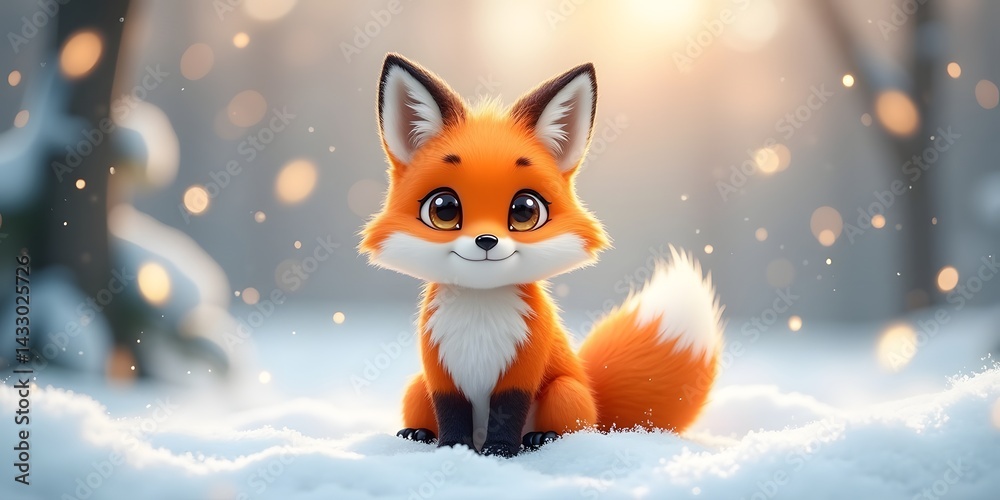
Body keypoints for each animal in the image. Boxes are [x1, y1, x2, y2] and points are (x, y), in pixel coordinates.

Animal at [360, 53, 724, 457]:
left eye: (524, 211)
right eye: (444, 209)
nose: (486, 240)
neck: (480, 312)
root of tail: (597, 402)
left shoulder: (524, 366)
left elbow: (508, 411)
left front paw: (500, 452)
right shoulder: (440, 371)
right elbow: (451, 412)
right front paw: (453, 449)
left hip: (565, 391)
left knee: (573, 427)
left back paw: (542, 439)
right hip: (415, 386)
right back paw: (418, 433)